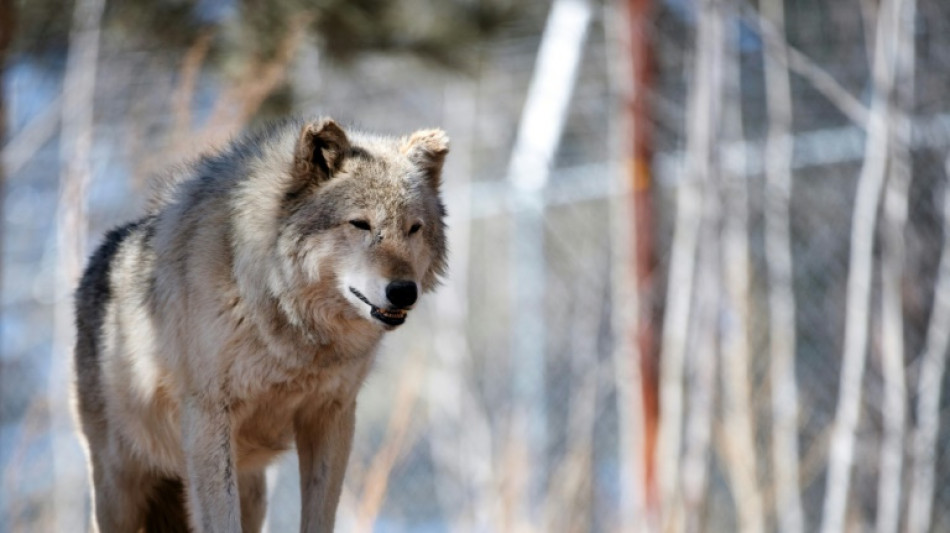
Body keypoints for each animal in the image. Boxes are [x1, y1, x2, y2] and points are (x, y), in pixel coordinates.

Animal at [73, 117, 449, 532]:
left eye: (413, 228)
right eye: (360, 224)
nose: (404, 291)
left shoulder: (331, 415)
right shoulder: (208, 418)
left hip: (251, 491)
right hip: (119, 489)